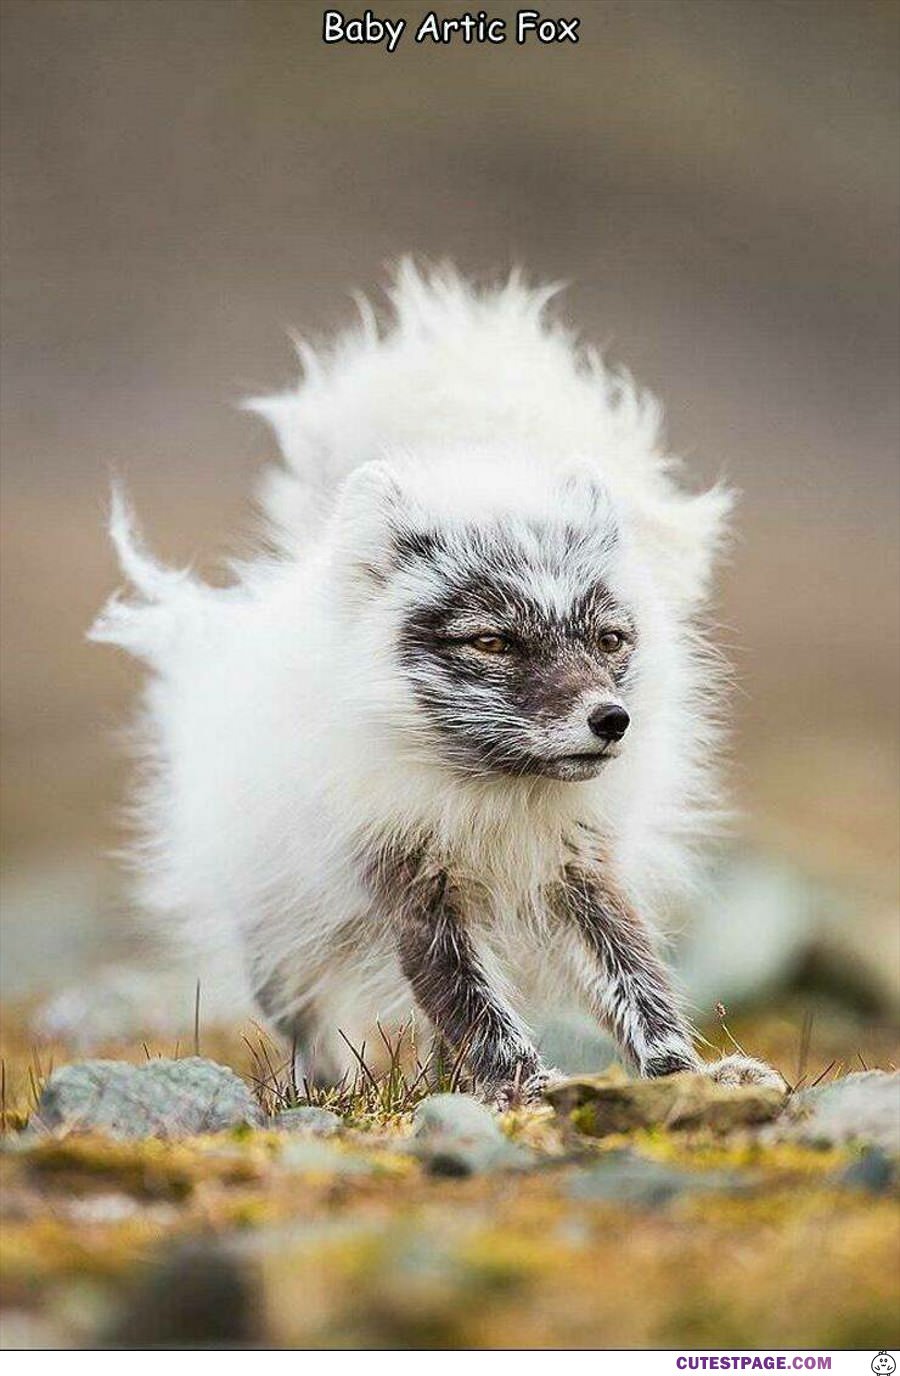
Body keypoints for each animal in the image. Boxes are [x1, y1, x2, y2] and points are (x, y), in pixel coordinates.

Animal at [90, 262, 781, 1100]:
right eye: (492, 641)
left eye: (610, 640)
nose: (611, 719)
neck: (495, 799)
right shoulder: (412, 890)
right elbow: (475, 1009)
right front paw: (527, 1090)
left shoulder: (580, 873)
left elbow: (638, 985)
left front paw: (687, 1075)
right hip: (279, 931)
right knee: (309, 1018)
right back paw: (323, 1089)